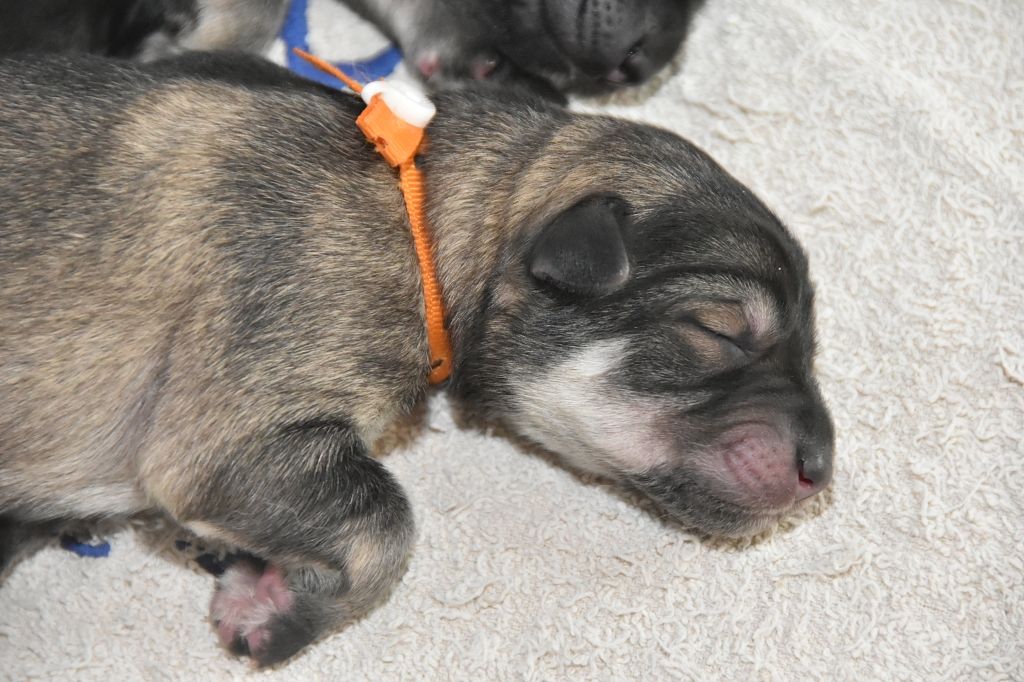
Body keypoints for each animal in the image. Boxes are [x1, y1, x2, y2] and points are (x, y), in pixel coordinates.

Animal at [0, 52, 834, 665]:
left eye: (811, 345)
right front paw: (276, 608)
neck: (421, 220)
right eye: (721, 332)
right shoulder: (231, 429)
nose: (821, 472)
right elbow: (388, 523)